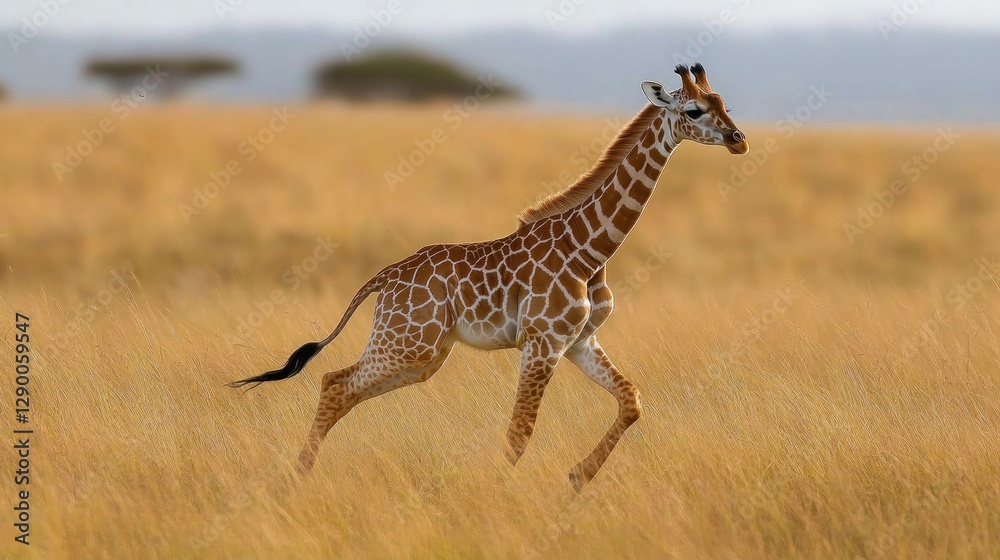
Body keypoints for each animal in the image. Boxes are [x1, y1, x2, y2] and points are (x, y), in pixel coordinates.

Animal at [230, 63, 749, 491]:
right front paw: (499, 496)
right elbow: (520, 432)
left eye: (724, 102)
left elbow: (631, 400)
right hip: (408, 342)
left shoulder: (579, 340)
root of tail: (384, 277)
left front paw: (577, 477)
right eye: (695, 110)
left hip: (425, 356)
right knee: (335, 383)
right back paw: (296, 477)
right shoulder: (542, 342)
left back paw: (300, 475)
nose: (739, 139)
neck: (590, 251)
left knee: (340, 386)